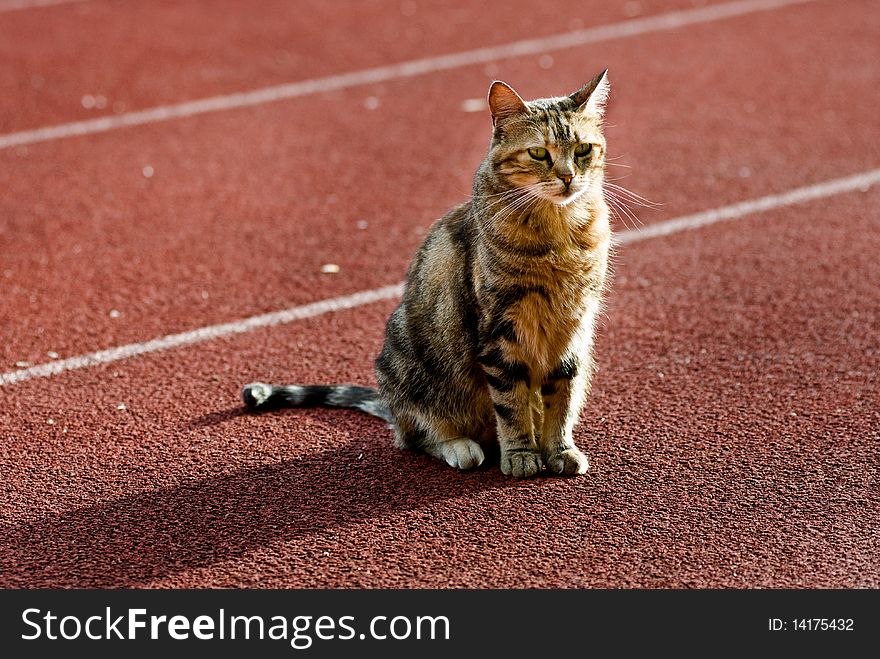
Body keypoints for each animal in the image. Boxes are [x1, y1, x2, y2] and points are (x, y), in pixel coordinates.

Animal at [241, 69, 612, 476]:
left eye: (583, 150)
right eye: (538, 153)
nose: (568, 177)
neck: (558, 233)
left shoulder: (574, 328)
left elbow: (561, 399)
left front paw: (559, 449)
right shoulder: (499, 331)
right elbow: (512, 406)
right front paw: (521, 455)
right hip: (412, 364)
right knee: (417, 435)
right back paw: (462, 447)